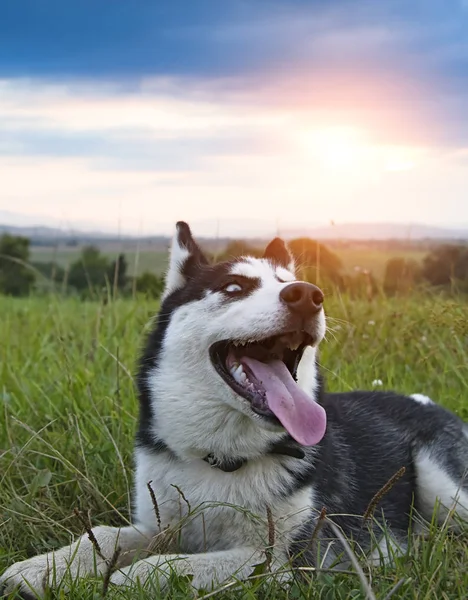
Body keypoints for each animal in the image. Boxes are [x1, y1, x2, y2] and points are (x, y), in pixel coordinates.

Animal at [0, 223, 468, 596]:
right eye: (234, 288)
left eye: (286, 282)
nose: (308, 295)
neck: (221, 459)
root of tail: (425, 401)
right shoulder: (158, 524)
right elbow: (101, 536)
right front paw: (45, 567)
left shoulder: (287, 562)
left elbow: (179, 565)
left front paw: (125, 580)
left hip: (444, 488)